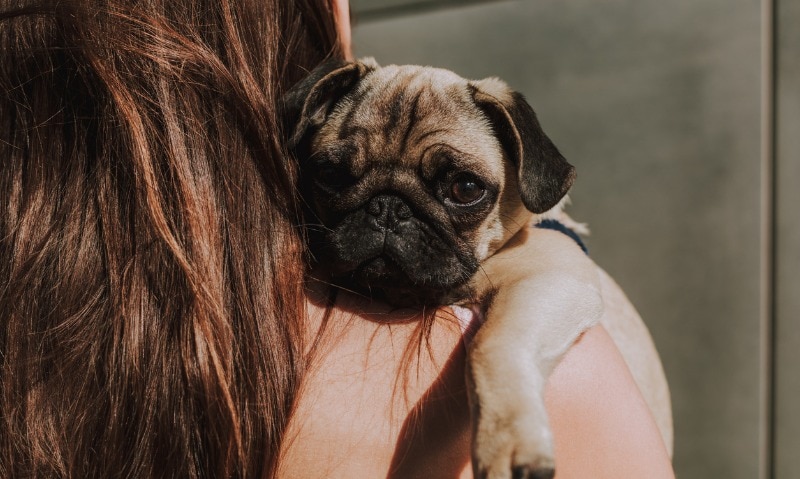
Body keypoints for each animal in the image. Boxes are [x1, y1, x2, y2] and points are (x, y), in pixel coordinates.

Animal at [282, 58, 600, 478]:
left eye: (465, 188)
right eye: (330, 175)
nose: (388, 207)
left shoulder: (552, 279)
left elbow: (490, 344)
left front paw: (506, 441)